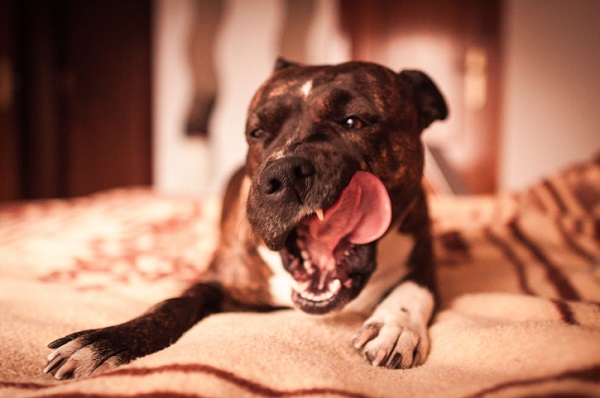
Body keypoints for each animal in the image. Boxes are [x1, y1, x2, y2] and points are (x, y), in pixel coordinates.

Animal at [44, 57, 446, 378]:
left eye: (354, 121)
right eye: (258, 132)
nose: (283, 173)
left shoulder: (424, 260)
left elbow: (413, 289)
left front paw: (396, 324)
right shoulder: (216, 281)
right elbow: (170, 305)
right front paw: (104, 342)